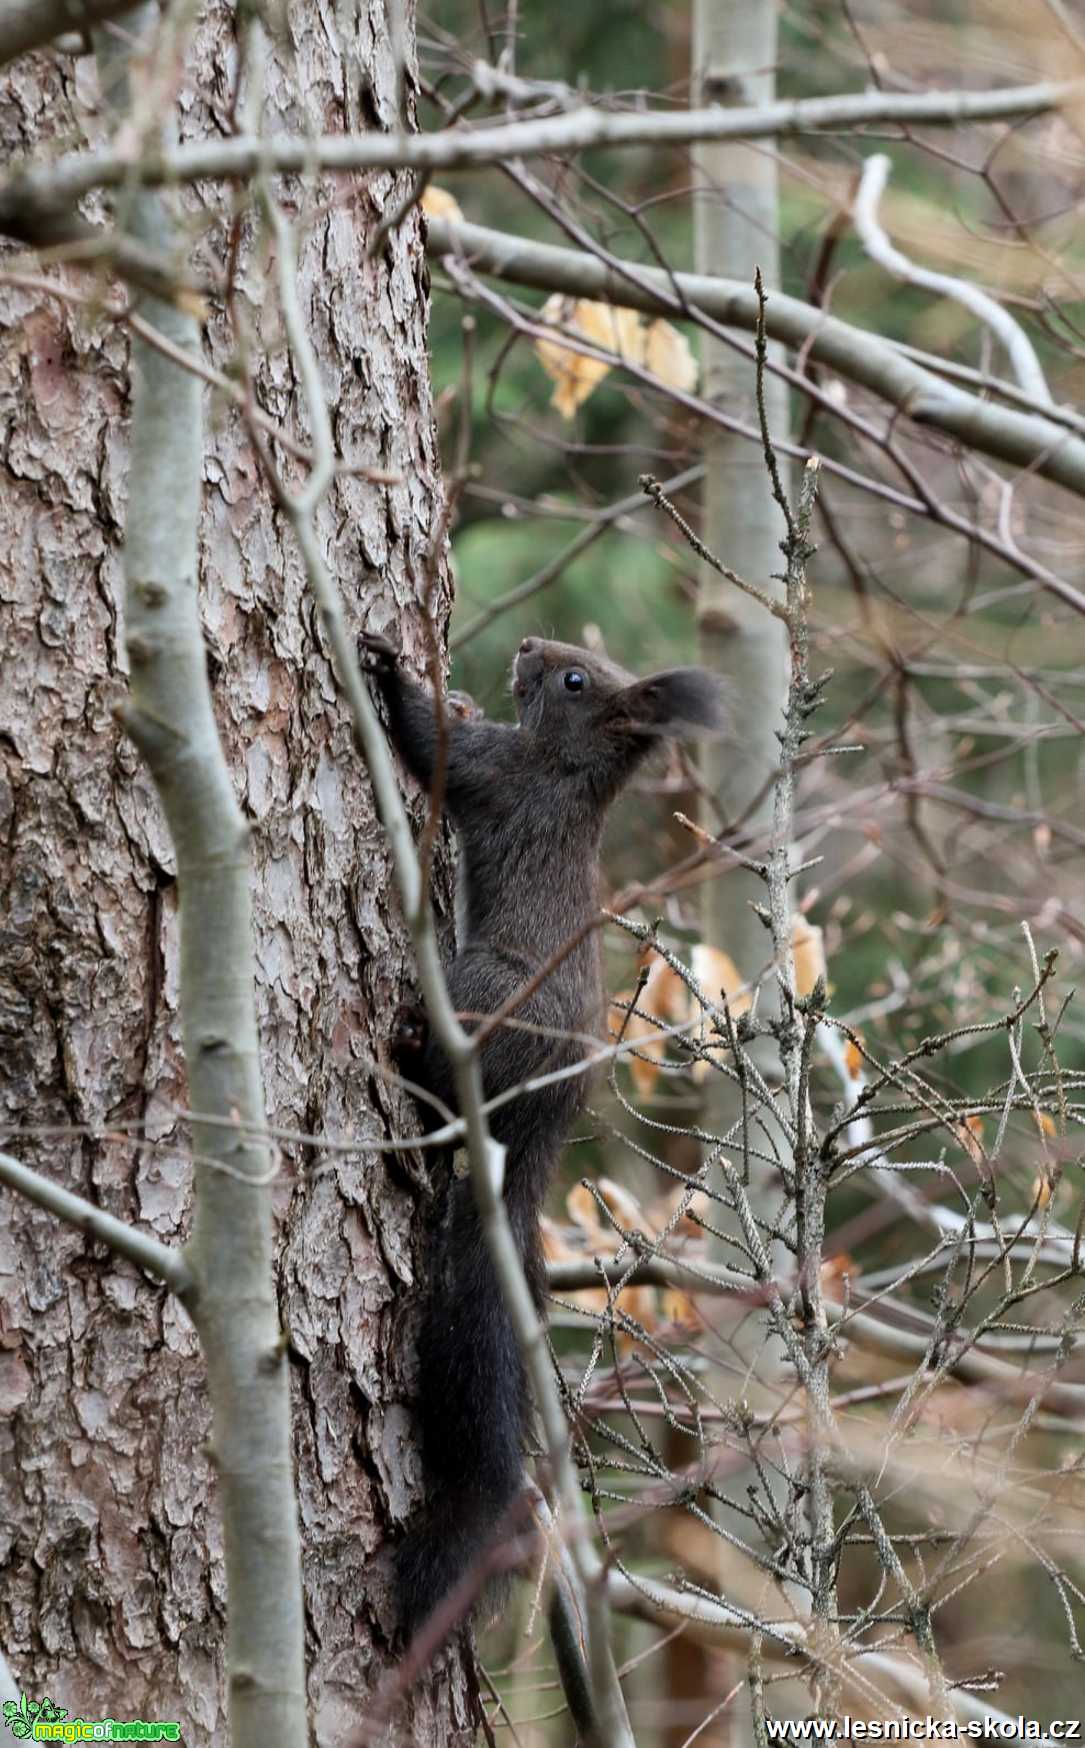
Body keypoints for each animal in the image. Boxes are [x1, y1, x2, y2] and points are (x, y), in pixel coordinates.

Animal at [359, 629, 723, 1636]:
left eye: (572, 679)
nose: (525, 644)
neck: (568, 767)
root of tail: (534, 1130)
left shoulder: (496, 774)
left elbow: (431, 744)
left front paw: (387, 669)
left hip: (482, 993)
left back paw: (411, 1047)